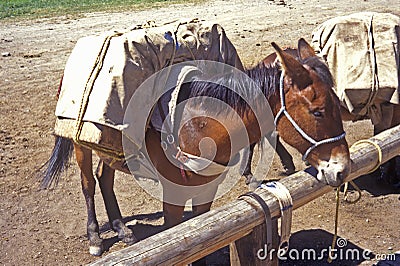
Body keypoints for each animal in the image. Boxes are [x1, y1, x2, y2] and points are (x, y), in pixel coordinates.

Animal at [39, 39, 348, 256]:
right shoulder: (173, 194)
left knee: (105, 178)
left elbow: (202, 232)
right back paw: (94, 237)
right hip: (82, 145)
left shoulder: (207, 189)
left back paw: (122, 229)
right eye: (318, 111)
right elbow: (176, 233)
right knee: (88, 184)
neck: (197, 127)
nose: (343, 168)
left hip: (110, 147)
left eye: (338, 104)